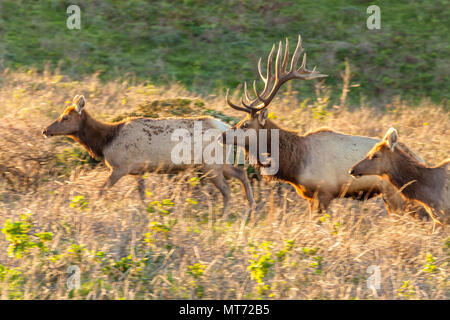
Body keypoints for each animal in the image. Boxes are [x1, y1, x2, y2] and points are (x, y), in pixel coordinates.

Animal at [43, 96, 255, 214]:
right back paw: (251, 207)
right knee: (241, 174)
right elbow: (142, 195)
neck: (105, 142)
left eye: (65, 117)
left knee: (226, 190)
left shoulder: (120, 167)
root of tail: (223, 126)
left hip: (210, 164)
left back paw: (224, 215)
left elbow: (101, 190)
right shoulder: (139, 171)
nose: (45, 130)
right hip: (219, 163)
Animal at [221, 34, 426, 215]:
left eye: (245, 124)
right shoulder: (310, 196)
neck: (295, 164)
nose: (222, 135)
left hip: (396, 195)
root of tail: (420, 160)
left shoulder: (325, 192)